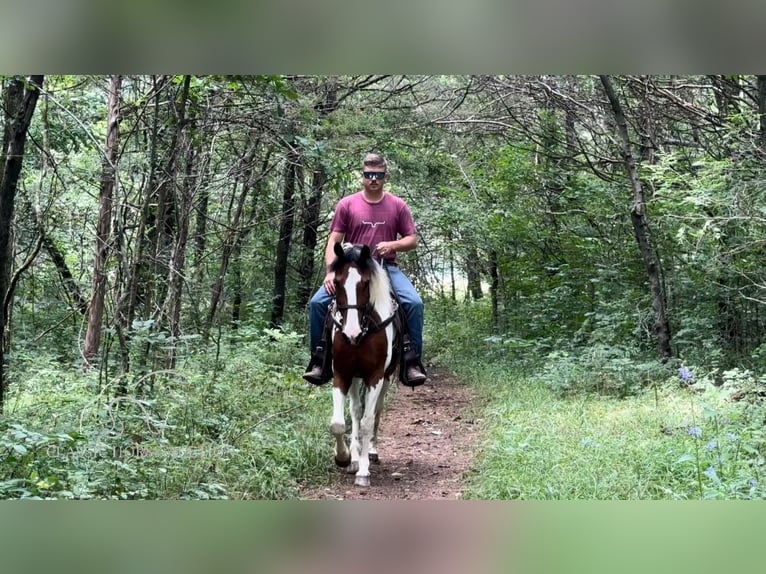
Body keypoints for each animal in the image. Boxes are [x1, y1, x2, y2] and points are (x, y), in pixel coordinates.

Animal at [328, 241, 402, 488]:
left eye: (366, 283)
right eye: (337, 282)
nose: (351, 333)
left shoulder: (375, 376)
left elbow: (369, 421)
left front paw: (363, 470)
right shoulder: (342, 373)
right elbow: (339, 422)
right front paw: (344, 458)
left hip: (385, 378)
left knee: (376, 411)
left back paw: (370, 452)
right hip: (354, 377)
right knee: (356, 411)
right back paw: (354, 455)